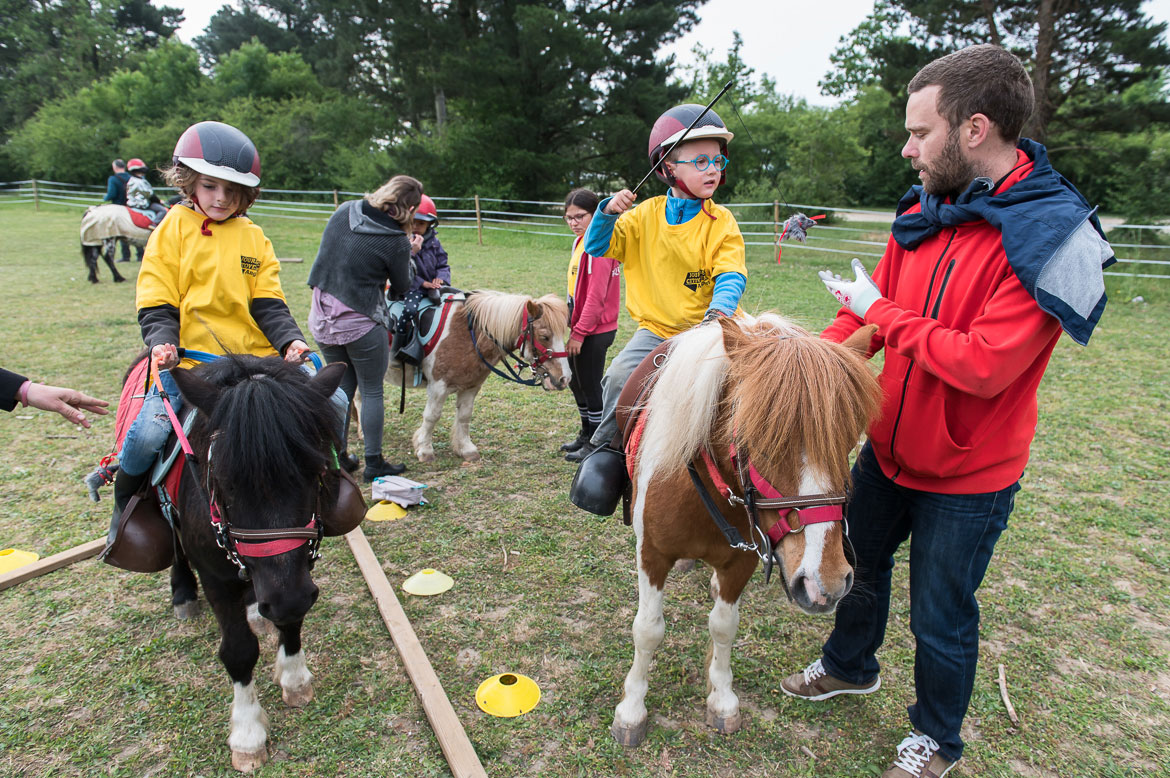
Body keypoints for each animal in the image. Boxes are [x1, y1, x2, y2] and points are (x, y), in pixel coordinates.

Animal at [167, 355, 343, 772]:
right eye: (225, 479)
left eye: (316, 471)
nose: (284, 599)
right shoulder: (215, 577)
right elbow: (238, 650)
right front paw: (248, 733)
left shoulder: (298, 571)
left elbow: (291, 621)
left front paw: (294, 679)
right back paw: (183, 593)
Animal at [390, 291, 573, 460]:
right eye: (544, 336)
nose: (565, 378)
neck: (466, 334)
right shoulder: (438, 387)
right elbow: (431, 416)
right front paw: (425, 450)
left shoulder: (471, 386)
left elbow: (464, 416)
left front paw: (466, 449)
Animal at [613, 308, 879, 748]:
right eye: (761, 440)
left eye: (847, 442)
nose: (825, 583)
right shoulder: (652, 554)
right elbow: (647, 630)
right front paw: (632, 710)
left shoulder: (741, 563)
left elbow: (724, 627)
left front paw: (721, 699)